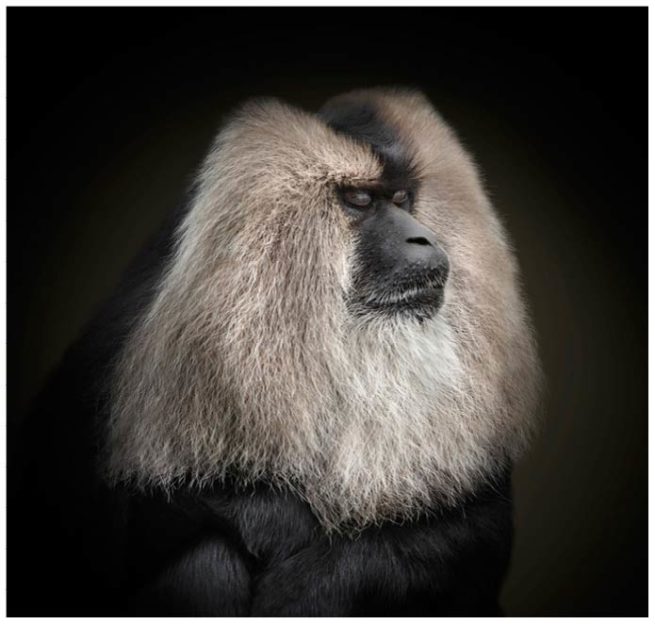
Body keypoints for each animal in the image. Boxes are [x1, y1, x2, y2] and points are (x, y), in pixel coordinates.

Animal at [9, 88, 541, 616]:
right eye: (360, 200)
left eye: (402, 199)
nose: (422, 237)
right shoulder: (116, 345)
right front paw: (273, 521)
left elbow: (476, 531)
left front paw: (307, 584)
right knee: (208, 558)